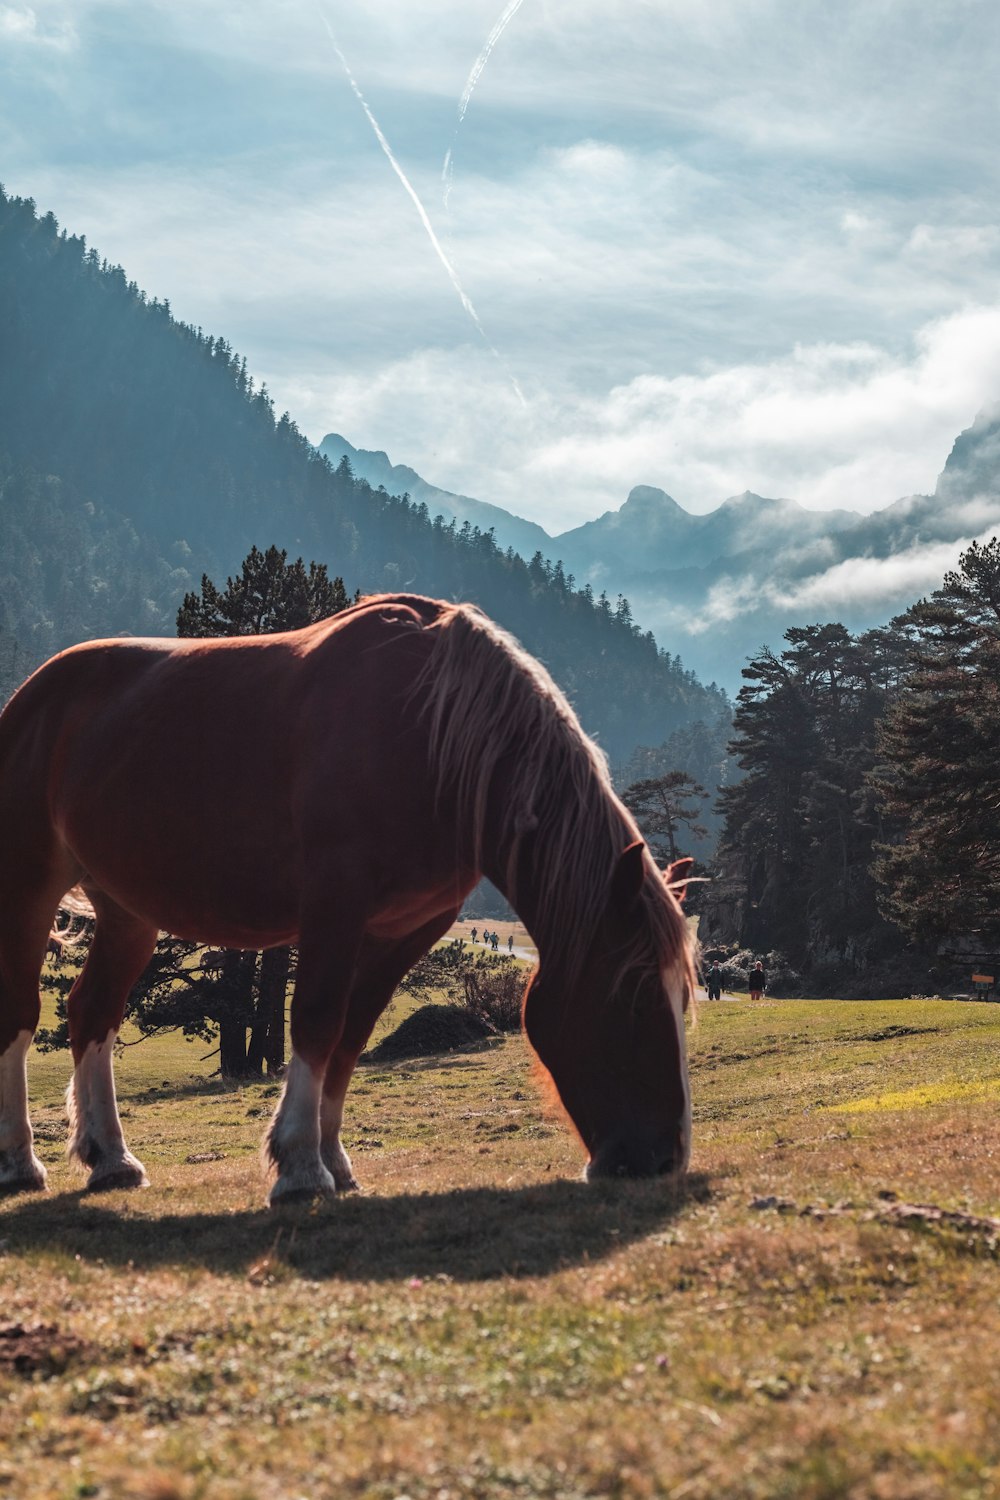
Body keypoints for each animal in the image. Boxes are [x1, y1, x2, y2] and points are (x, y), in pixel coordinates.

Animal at [0, 591, 692, 1200]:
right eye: (632, 999)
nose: (664, 1158)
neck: (427, 731)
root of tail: (30, 697)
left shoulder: (407, 929)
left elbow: (351, 1035)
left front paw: (334, 1159)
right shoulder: (334, 904)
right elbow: (316, 1019)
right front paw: (300, 1166)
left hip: (128, 911)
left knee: (92, 1011)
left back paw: (110, 1159)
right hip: (27, 887)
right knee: (21, 1014)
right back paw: (19, 1163)